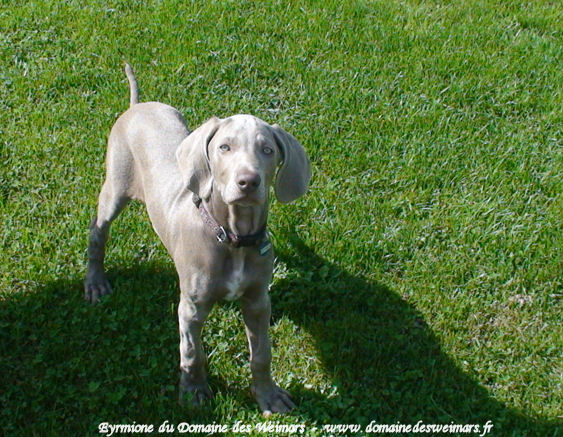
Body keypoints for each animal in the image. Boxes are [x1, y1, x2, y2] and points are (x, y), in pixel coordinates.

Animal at [84, 64, 311, 415]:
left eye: (268, 150)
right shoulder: (190, 307)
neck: (232, 237)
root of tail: (138, 106)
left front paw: (267, 394)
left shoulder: (258, 301)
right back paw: (95, 281)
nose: (248, 182)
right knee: (98, 232)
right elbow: (192, 353)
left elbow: (262, 354)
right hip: (115, 188)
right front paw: (194, 391)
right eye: (224, 147)